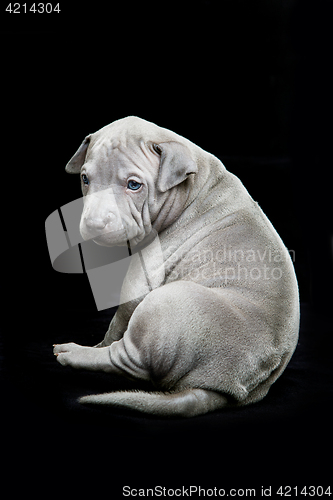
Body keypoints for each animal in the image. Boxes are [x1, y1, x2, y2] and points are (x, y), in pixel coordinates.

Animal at [53, 115, 298, 416]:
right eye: (85, 179)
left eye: (134, 185)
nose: (94, 224)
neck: (194, 186)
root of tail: (227, 387)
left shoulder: (141, 278)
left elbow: (117, 321)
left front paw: (101, 341)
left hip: (166, 303)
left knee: (122, 359)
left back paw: (75, 352)